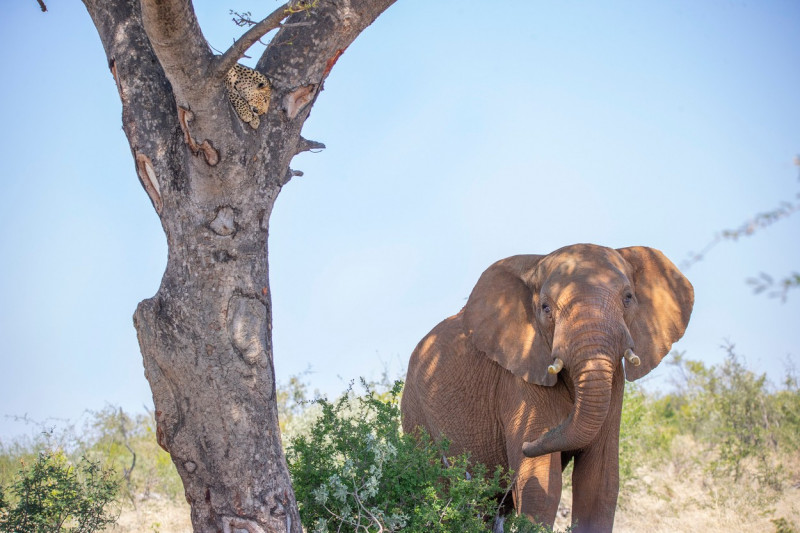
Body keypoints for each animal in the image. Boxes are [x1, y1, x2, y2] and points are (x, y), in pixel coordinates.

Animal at [404, 242, 692, 532]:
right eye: (545, 308)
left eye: (629, 298)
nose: (528, 444)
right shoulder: (521, 375)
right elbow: (541, 484)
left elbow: (599, 484)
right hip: (415, 411)